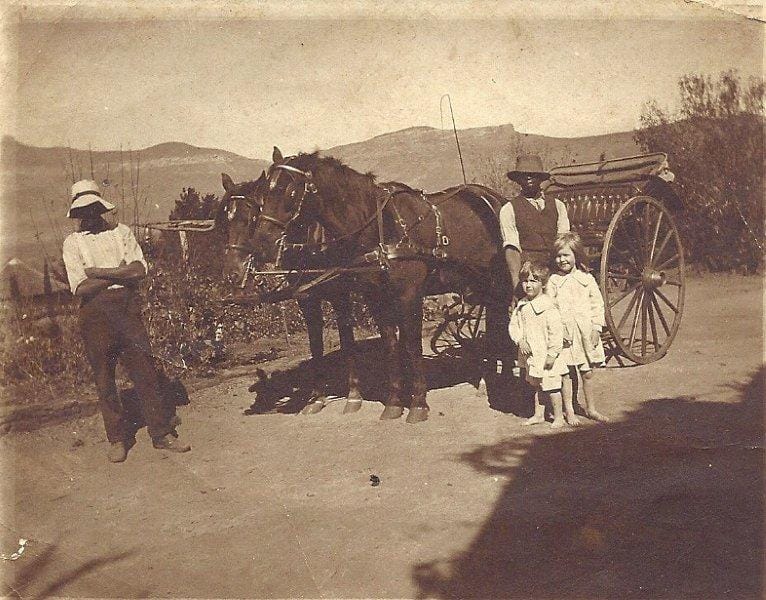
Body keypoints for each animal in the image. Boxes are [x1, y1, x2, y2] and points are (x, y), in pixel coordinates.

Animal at [222, 169, 366, 412]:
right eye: (225, 221)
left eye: (251, 219)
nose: (234, 273)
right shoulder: (306, 298)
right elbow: (315, 345)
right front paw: (317, 397)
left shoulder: (340, 296)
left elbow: (347, 341)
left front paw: (354, 394)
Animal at [249, 147, 512, 424]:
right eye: (264, 194)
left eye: (290, 192)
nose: (261, 244)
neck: (379, 227)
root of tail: (495, 197)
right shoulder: (376, 298)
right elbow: (390, 347)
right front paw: (394, 402)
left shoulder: (409, 295)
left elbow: (412, 346)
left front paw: (418, 403)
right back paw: (487, 375)